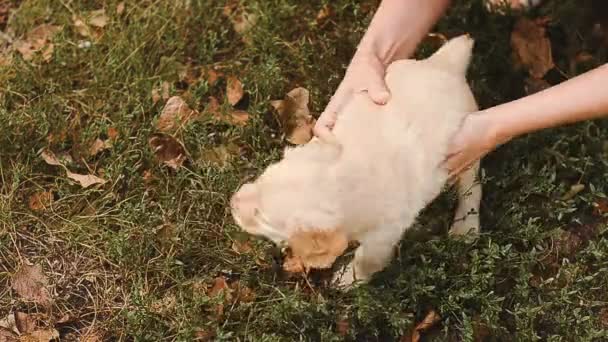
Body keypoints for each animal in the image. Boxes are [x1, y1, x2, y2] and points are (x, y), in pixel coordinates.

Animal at [230, 34, 482, 288]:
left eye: (262, 217)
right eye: (265, 175)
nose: (232, 201)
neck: (345, 179)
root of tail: (445, 64)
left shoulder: (384, 236)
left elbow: (367, 261)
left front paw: (346, 281)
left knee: (472, 189)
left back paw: (465, 227)